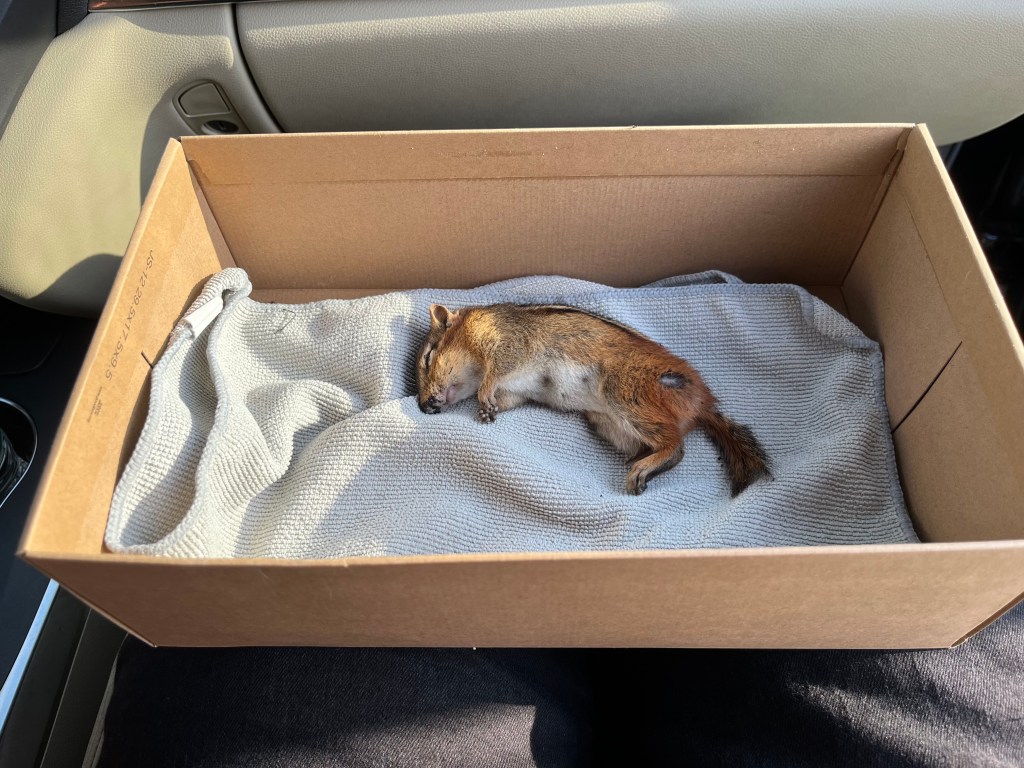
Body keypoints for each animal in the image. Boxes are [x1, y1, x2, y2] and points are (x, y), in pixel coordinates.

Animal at [416, 302, 770, 496]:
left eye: (428, 358)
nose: (423, 406)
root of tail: (703, 404)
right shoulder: (516, 391)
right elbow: (507, 398)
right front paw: (488, 409)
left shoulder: (506, 344)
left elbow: (497, 371)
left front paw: (483, 396)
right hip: (608, 423)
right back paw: (643, 461)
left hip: (625, 394)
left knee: (675, 446)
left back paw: (644, 468)